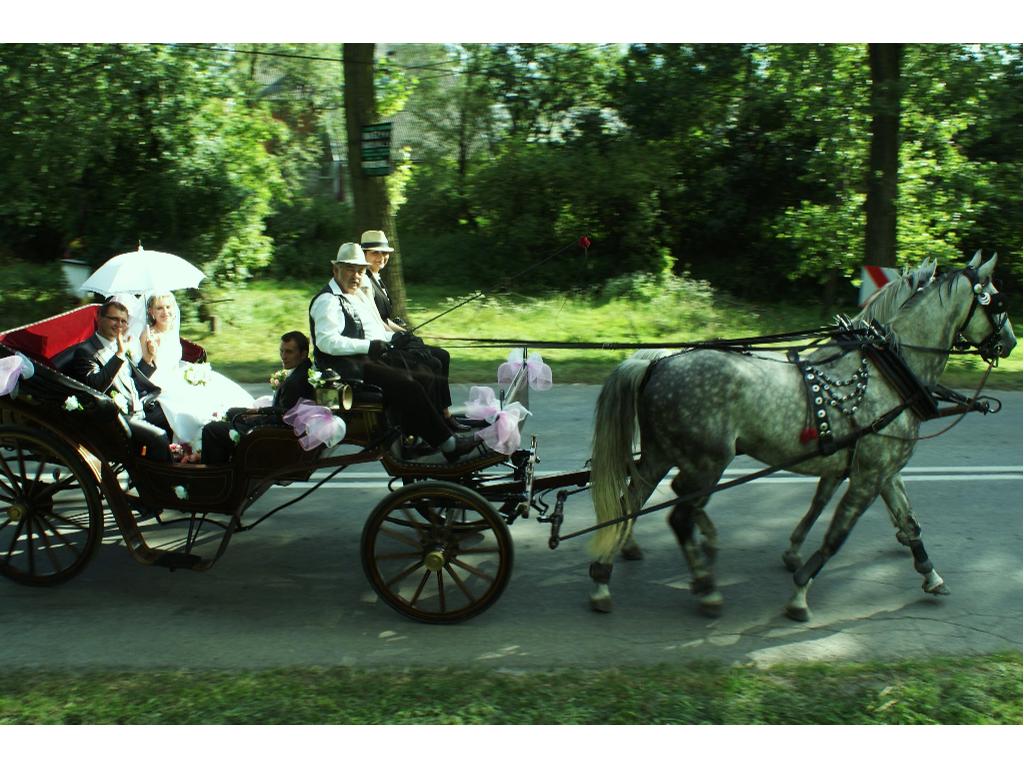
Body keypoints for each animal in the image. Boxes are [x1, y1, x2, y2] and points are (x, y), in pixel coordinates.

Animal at [589, 256, 1011, 622]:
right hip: (706, 463)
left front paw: (930, 573)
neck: (889, 372)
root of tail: (658, 364)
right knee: (677, 514)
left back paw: (605, 575)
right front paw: (799, 592)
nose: (1009, 343)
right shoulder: (867, 476)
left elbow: (907, 519)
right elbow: (835, 536)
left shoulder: (881, 470)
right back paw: (705, 587)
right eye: (996, 299)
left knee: (633, 500)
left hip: (661, 455)